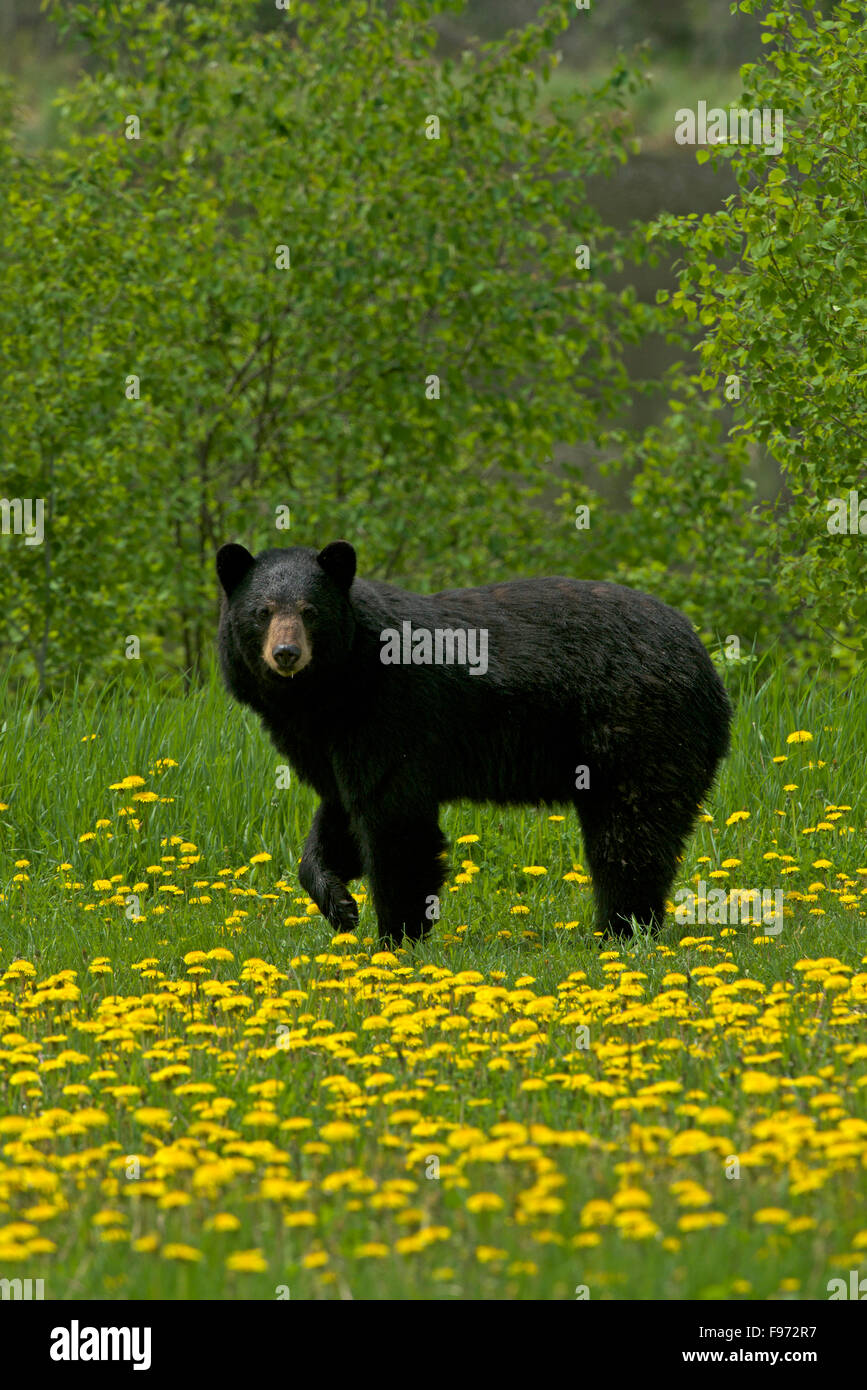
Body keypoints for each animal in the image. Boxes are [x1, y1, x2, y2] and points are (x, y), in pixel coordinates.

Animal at [216, 542, 733, 945]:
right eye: (262, 612)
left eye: (310, 611)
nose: (286, 654)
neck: (327, 692)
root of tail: (705, 662)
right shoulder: (327, 741)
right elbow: (340, 811)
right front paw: (339, 903)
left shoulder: (390, 712)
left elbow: (395, 819)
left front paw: (395, 937)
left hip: (639, 729)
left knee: (631, 833)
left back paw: (619, 929)